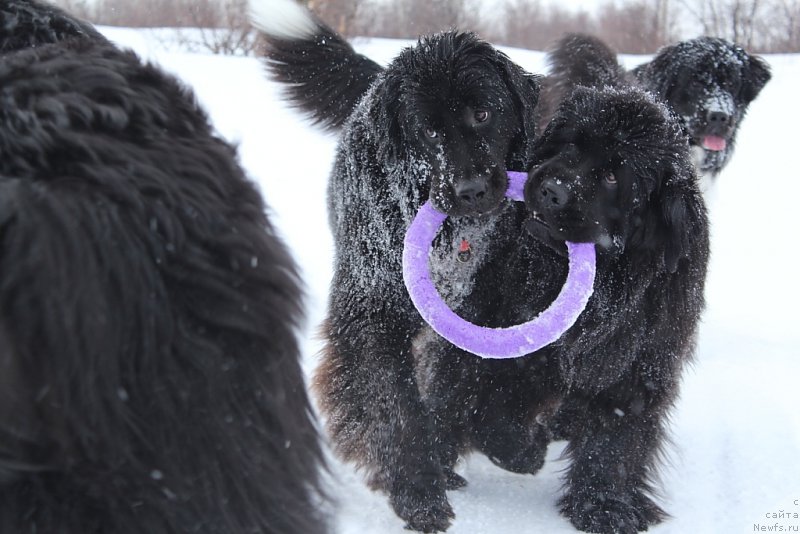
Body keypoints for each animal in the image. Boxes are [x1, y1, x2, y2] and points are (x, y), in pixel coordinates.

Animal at [250, 0, 536, 532]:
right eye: (429, 130)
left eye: (483, 113)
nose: (469, 190)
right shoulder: (372, 316)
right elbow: (394, 404)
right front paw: (418, 491)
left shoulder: (484, 309)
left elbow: (466, 382)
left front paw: (473, 449)